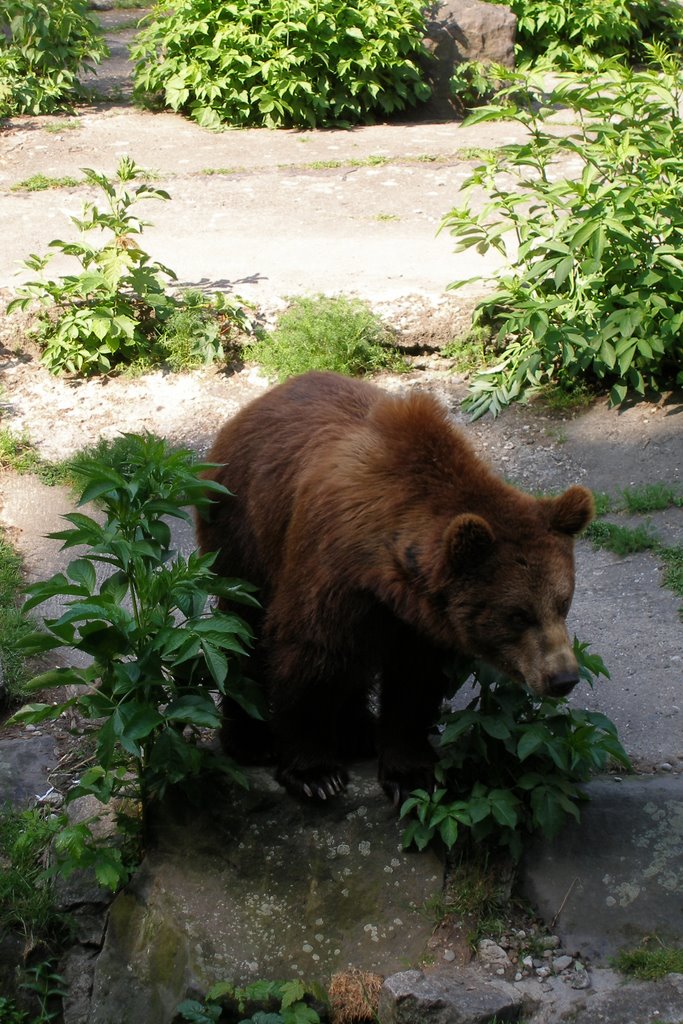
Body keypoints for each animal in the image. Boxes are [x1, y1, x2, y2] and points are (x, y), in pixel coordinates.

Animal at [196, 372, 593, 802]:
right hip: (243, 531)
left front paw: (410, 772)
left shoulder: (418, 616)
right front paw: (316, 774)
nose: (564, 678)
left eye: (563, 603)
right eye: (518, 615)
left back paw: (358, 732)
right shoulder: (328, 569)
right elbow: (308, 653)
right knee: (242, 630)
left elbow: (413, 682)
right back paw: (252, 740)